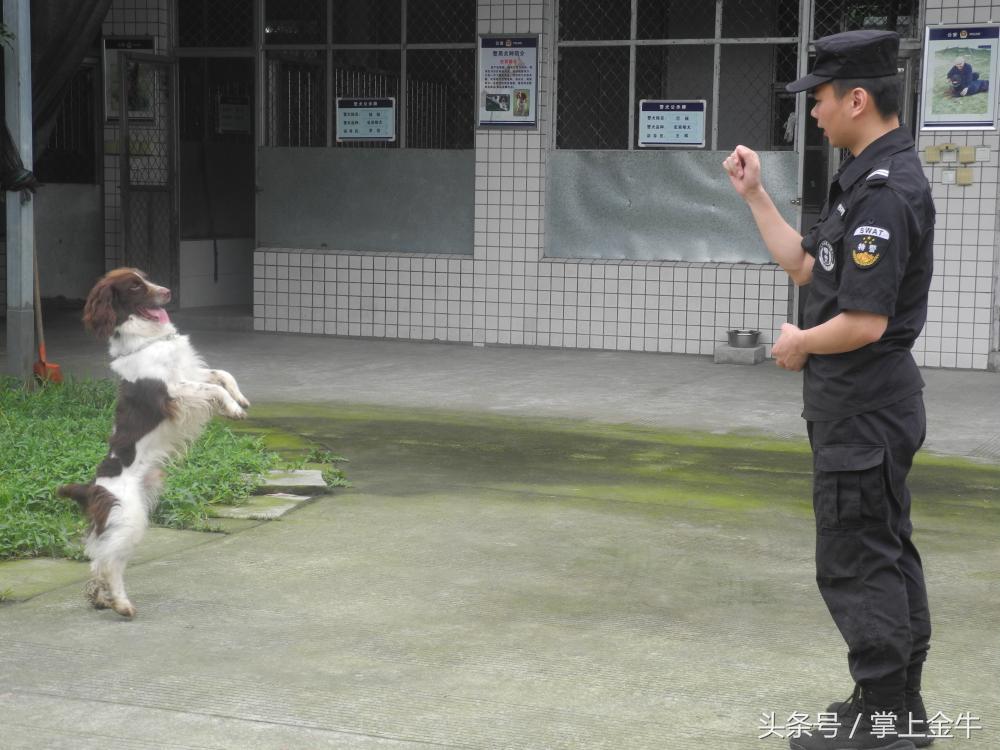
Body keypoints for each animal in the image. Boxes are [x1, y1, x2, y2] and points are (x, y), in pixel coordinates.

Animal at [59, 268, 252, 620]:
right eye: (135, 286)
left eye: (145, 277)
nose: (168, 292)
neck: (148, 339)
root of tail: (91, 489)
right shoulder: (172, 392)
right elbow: (213, 388)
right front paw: (233, 408)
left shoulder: (191, 373)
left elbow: (221, 374)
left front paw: (240, 399)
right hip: (131, 518)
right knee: (110, 562)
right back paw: (121, 603)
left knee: (98, 556)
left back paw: (99, 596)